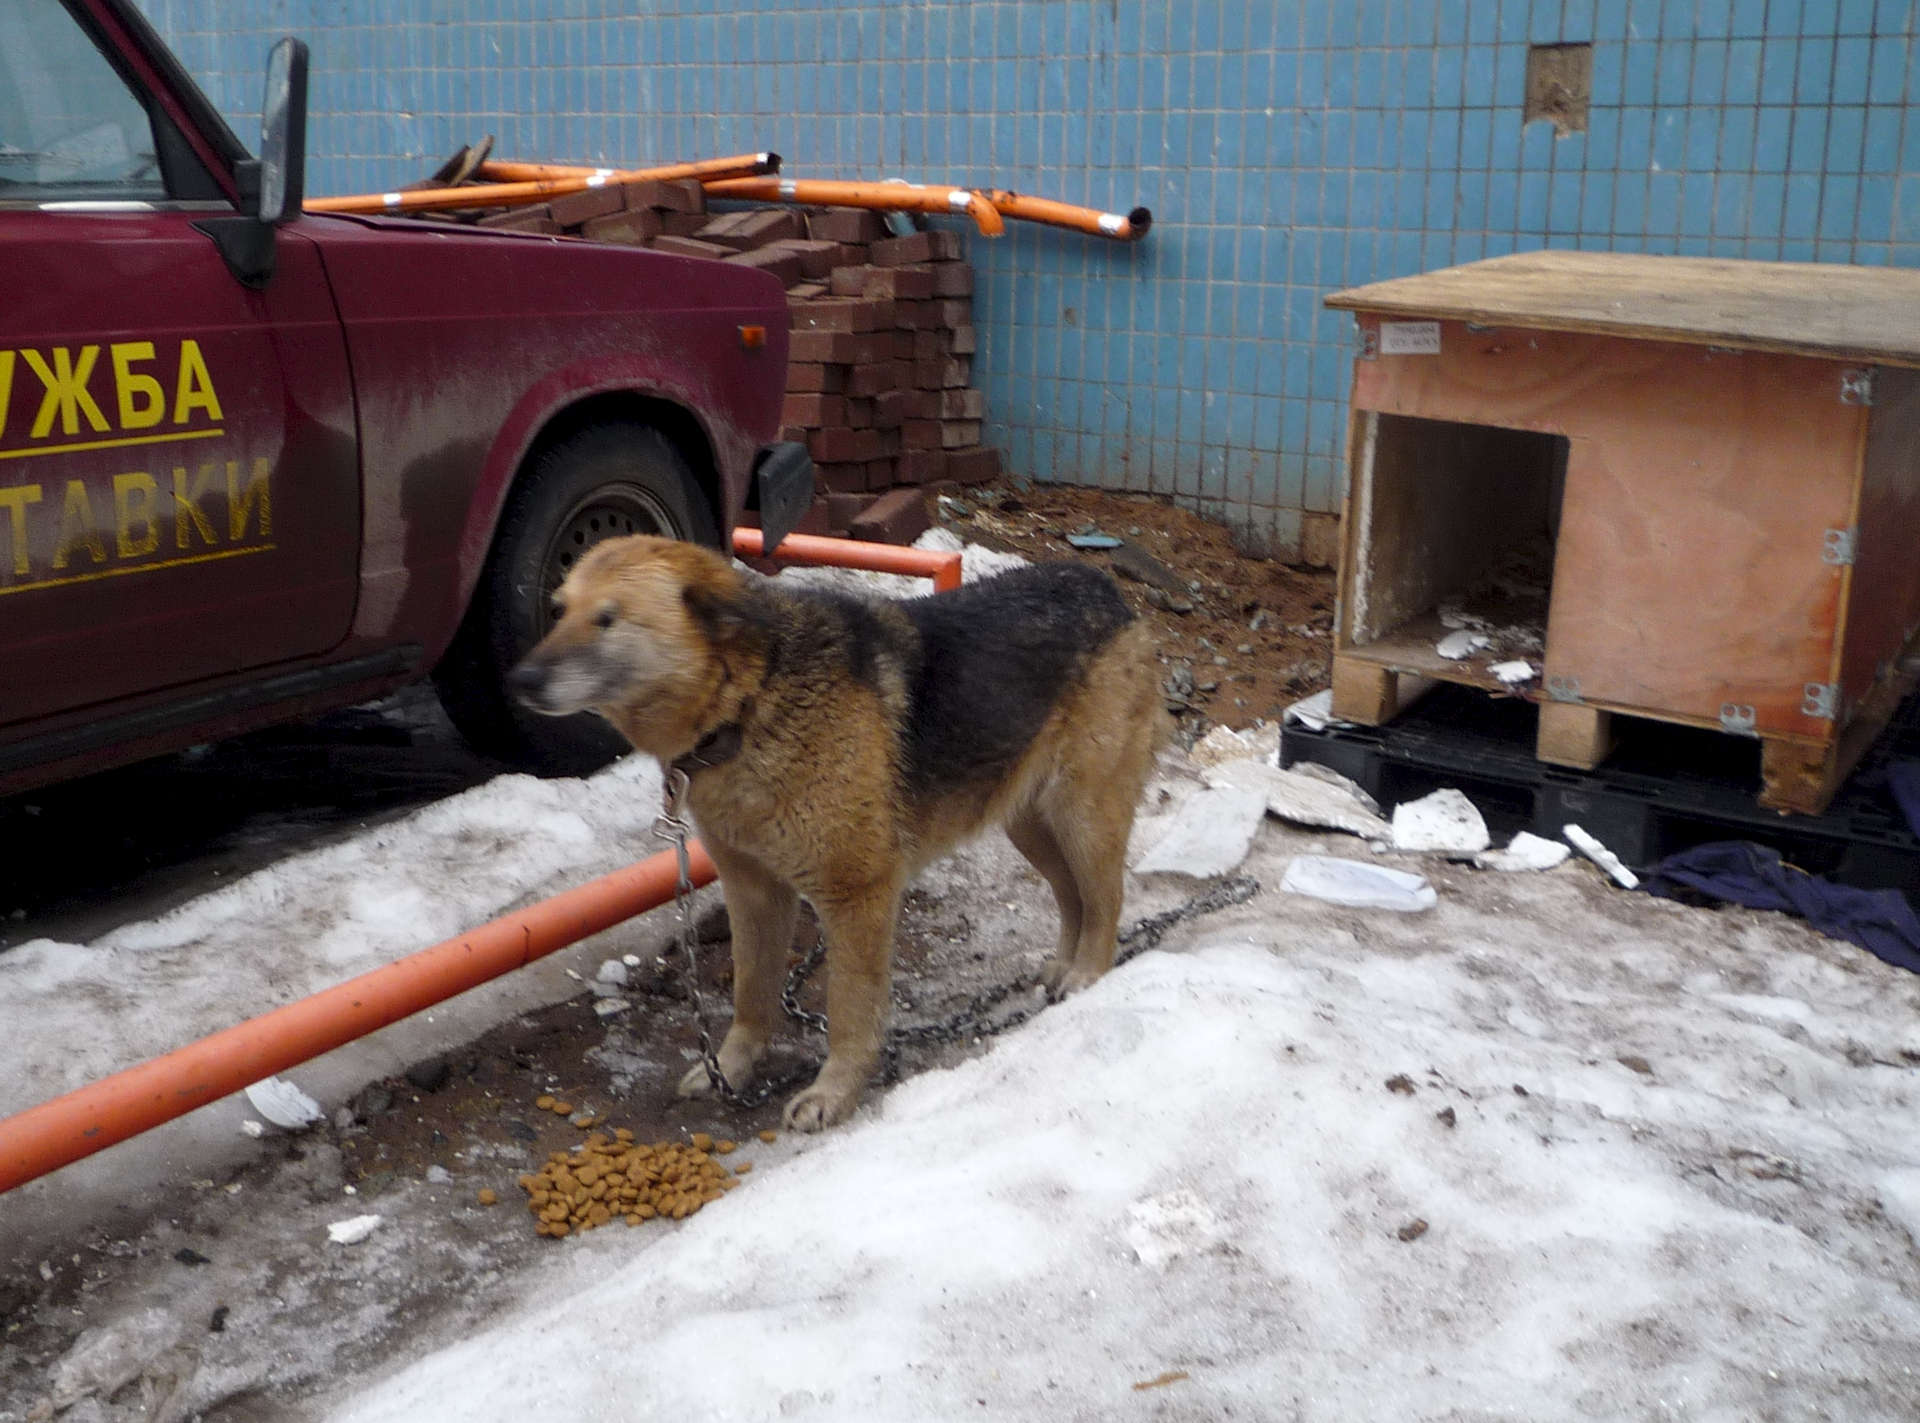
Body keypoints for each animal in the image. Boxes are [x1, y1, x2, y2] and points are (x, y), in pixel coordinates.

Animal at [509, 534, 1167, 1130]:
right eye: (559, 609)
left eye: (609, 619)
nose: (521, 680)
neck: (746, 701)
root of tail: (1103, 587)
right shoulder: (753, 891)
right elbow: (752, 995)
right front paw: (732, 1068)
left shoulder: (856, 898)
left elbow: (850, 1012)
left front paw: (834, 1094)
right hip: (1029, 825)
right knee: (1072, 897)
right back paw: (1063, 968)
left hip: (1083, 816)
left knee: (1105, 898)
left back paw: (1088, 973)